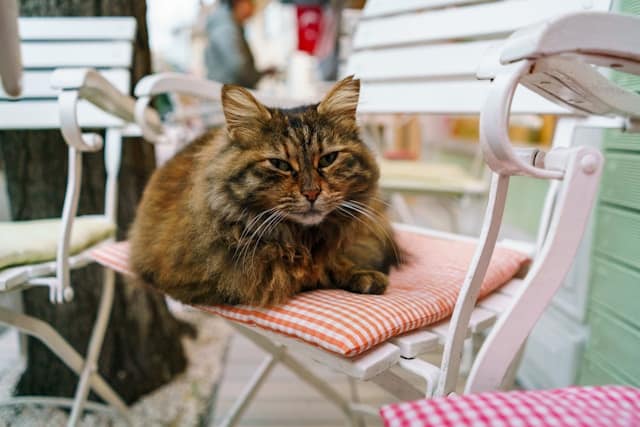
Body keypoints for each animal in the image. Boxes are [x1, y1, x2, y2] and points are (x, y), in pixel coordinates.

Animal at [127, 77, 402, 308]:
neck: (302, 239)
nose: (312, 193)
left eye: (328, 160)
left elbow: (339, 259)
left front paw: (362, 275)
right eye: (279, 164)